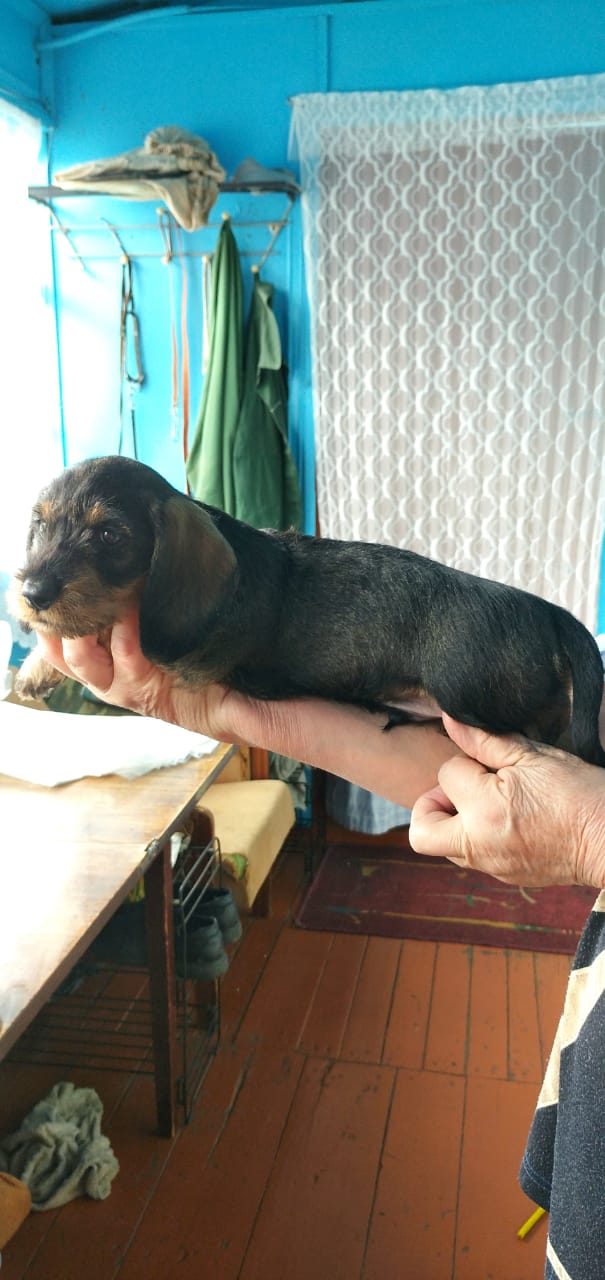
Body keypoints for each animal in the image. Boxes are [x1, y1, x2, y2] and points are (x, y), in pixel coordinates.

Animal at [9, 454, 605, 767]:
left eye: (110, 535)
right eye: (39, 525)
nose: (33, 592)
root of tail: (549, 612)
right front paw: (34, 669)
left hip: (475, 698)